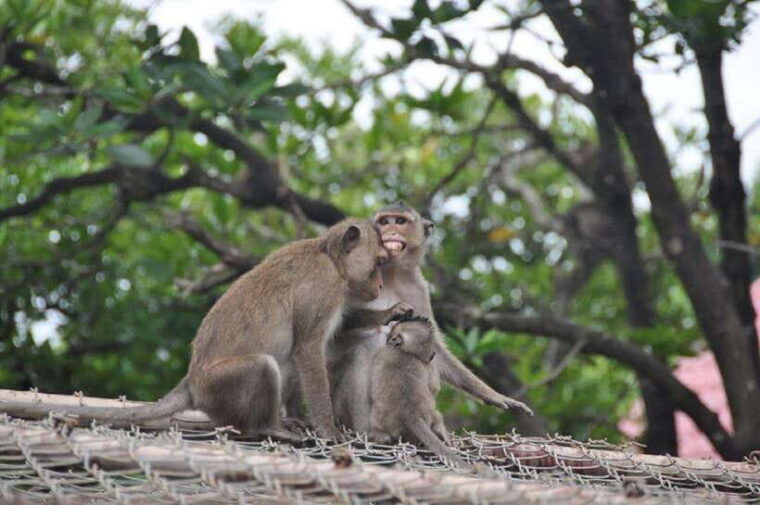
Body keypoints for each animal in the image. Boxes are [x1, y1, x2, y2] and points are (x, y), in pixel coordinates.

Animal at [0, 219, 388, 440]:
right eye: (379, 263)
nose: (382, 284)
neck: (331, 259)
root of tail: (191, 381)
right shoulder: (322, 290)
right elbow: (308, 349)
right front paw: (328, 429)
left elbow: (306, 351)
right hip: (219, 387)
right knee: (264, 365)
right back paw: (271, 428)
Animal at [322, 202, 532, 433]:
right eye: (384, 221)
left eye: (400, 221)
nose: (390, 230)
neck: (392, 272)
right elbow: (334, 325)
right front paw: (389, 313)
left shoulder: (418, 287)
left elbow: (431, 344)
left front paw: (495, 396)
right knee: (358, 354)